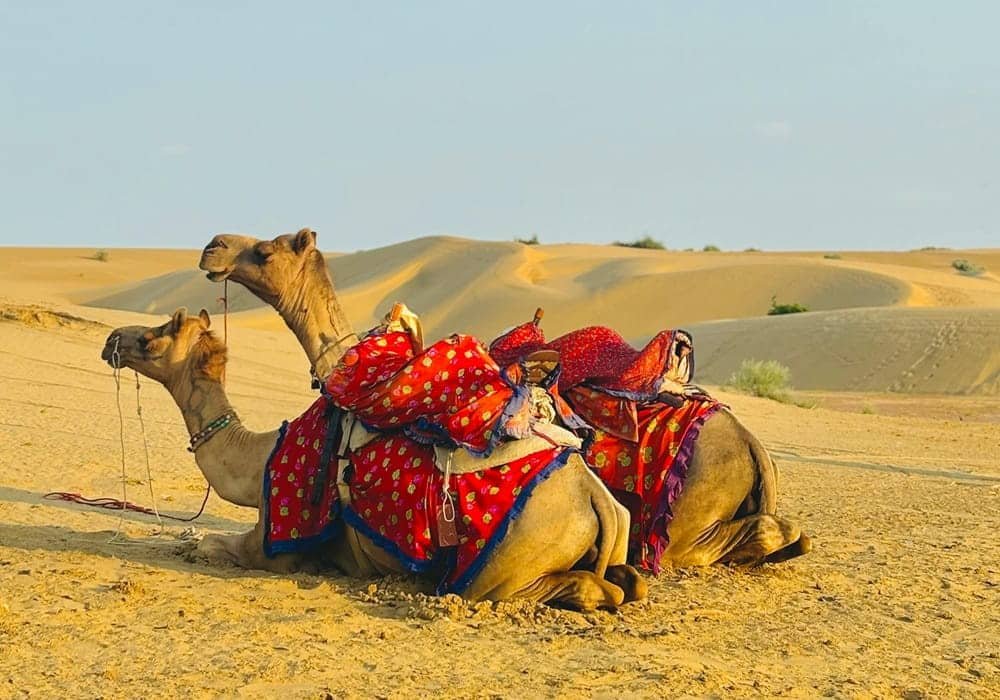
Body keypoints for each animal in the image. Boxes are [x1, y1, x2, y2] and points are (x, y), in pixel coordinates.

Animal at [101, 308, 647, 610]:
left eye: (153, 336)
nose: (112, 340)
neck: (258, 459)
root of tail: (596, 497)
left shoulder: (275, 546)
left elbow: (211, 545)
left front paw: (193, 544)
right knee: (624, 582)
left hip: (503, 569)